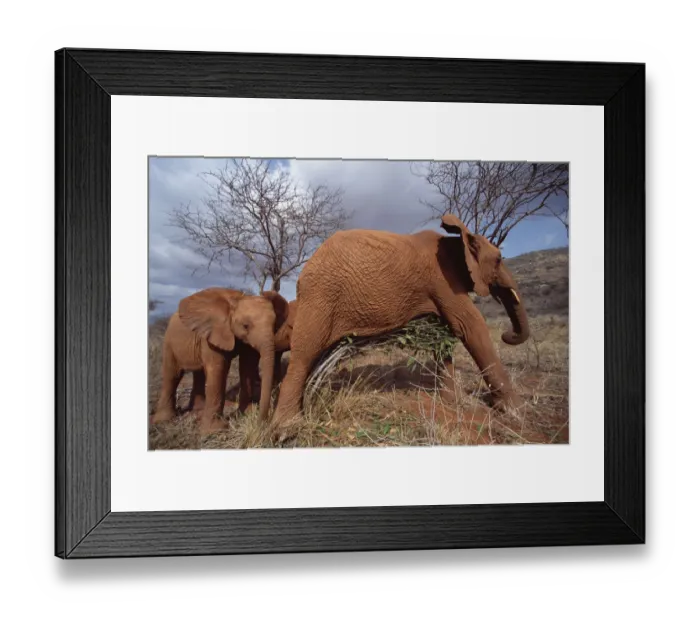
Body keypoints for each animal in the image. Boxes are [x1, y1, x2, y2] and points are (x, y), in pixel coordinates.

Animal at [152, 288, 288, 433]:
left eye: (274, 326)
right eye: (245, 326)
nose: (261, 424)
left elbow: (247, 366)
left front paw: (246, 413)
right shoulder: (213, 333)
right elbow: (218, 369)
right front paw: (215, 430)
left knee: (198, 373)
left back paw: (198, 409)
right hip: (169, 341)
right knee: (173, 374)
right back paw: (164, 420)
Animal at [271, 214, 530, 434]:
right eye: (498, 259)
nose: (507, 335)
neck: (457, 242)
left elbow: (444, 333)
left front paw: (451, 401)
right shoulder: (443, 281)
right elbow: (469, 326)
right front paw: (516, 411)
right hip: (320, 296)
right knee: (304, 354)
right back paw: (287, 429)